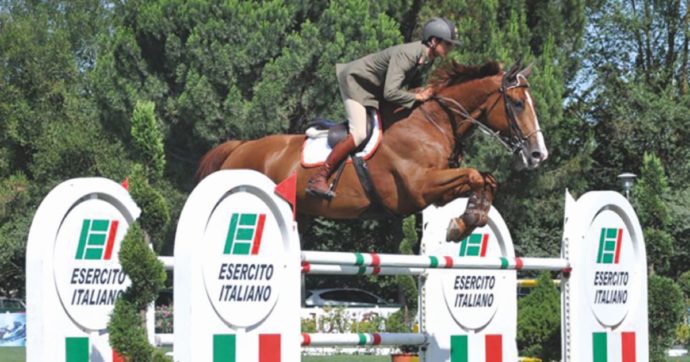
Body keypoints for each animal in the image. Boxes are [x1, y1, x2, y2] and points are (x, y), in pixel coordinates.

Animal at [196, 60, 544, 240]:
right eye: (517, 103)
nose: (538, 154)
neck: (433, 122)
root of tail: (240, 147)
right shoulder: (418, 188)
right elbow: (474, 174)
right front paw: (464, 222)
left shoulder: (438, 189)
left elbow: (485, 178)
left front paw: (471, 217)